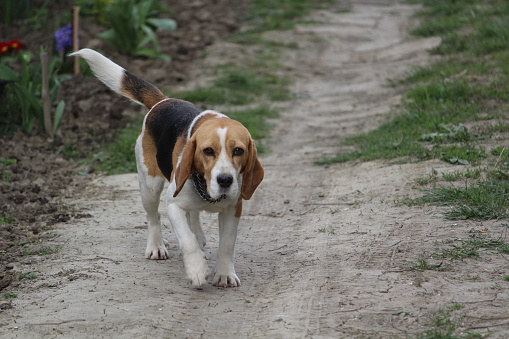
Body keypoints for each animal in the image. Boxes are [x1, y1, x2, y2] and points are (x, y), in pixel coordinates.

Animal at [71, 49, 264, 290]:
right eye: (208, 151)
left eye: (238, 151)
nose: (225, 180)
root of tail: (162, 101)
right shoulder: (173, 204)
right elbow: (186, 240)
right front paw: (197, 270)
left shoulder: (233, 209)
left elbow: (227, 245)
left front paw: (225, 274)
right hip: (150, 185)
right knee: (153, 217)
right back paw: (156, 246)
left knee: (193, 216)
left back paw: (198, 235)